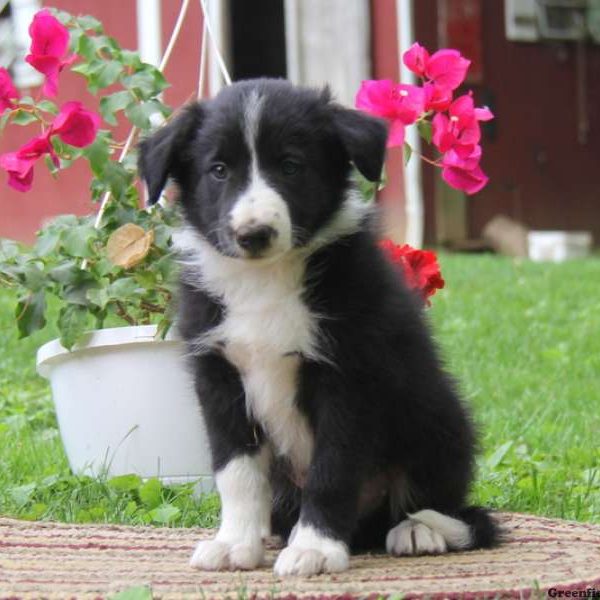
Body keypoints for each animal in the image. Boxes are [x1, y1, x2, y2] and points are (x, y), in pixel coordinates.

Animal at [138, 78, 500, 576]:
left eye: (291, 166)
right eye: (218, 170)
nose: (254, 234)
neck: (265, 281)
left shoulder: (348, 378)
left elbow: (333, 471)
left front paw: (315, 549)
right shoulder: (219, 375)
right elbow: (236, 471)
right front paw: (234, 543)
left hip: (439, 418)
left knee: (464, 514)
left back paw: (419, 529)